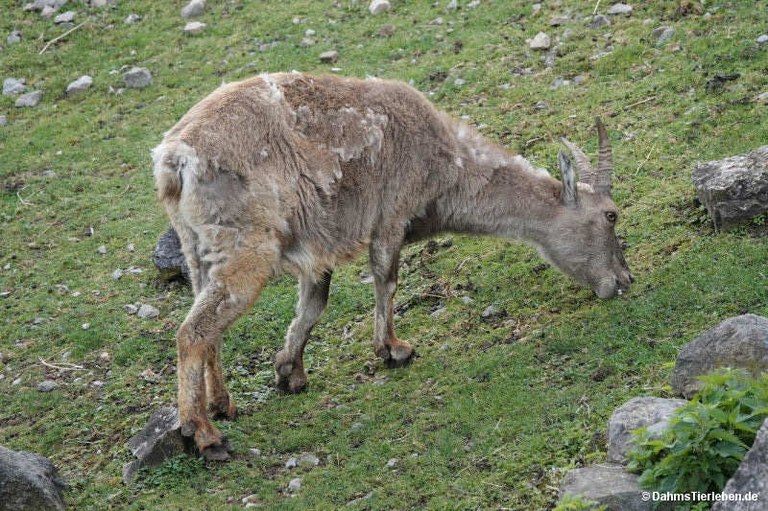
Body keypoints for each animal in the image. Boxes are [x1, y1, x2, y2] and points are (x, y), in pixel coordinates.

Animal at [152, 73, 633, 459]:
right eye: (611, 215)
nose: (624, 279)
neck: (446, 162)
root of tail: (175, 159)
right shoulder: (391, 215)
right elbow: (386, 278)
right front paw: (393, 349)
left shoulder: (318, 249)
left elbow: (313, 304)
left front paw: (290, 371)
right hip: (246, 248)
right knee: (192, 332)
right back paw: (205, 435)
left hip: (198, 249)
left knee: (208, 325)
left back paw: (222, 404)